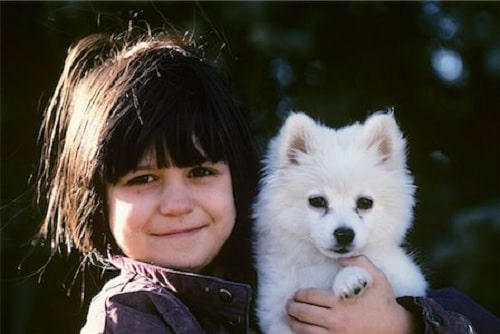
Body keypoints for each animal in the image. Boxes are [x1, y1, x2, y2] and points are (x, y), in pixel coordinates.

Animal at [252, 111, 428, 332]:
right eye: (317, 201)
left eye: (365, 203)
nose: (344, 234)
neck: (324, 265)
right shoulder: (275, 314)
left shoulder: (408, 280)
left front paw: (350, 278)